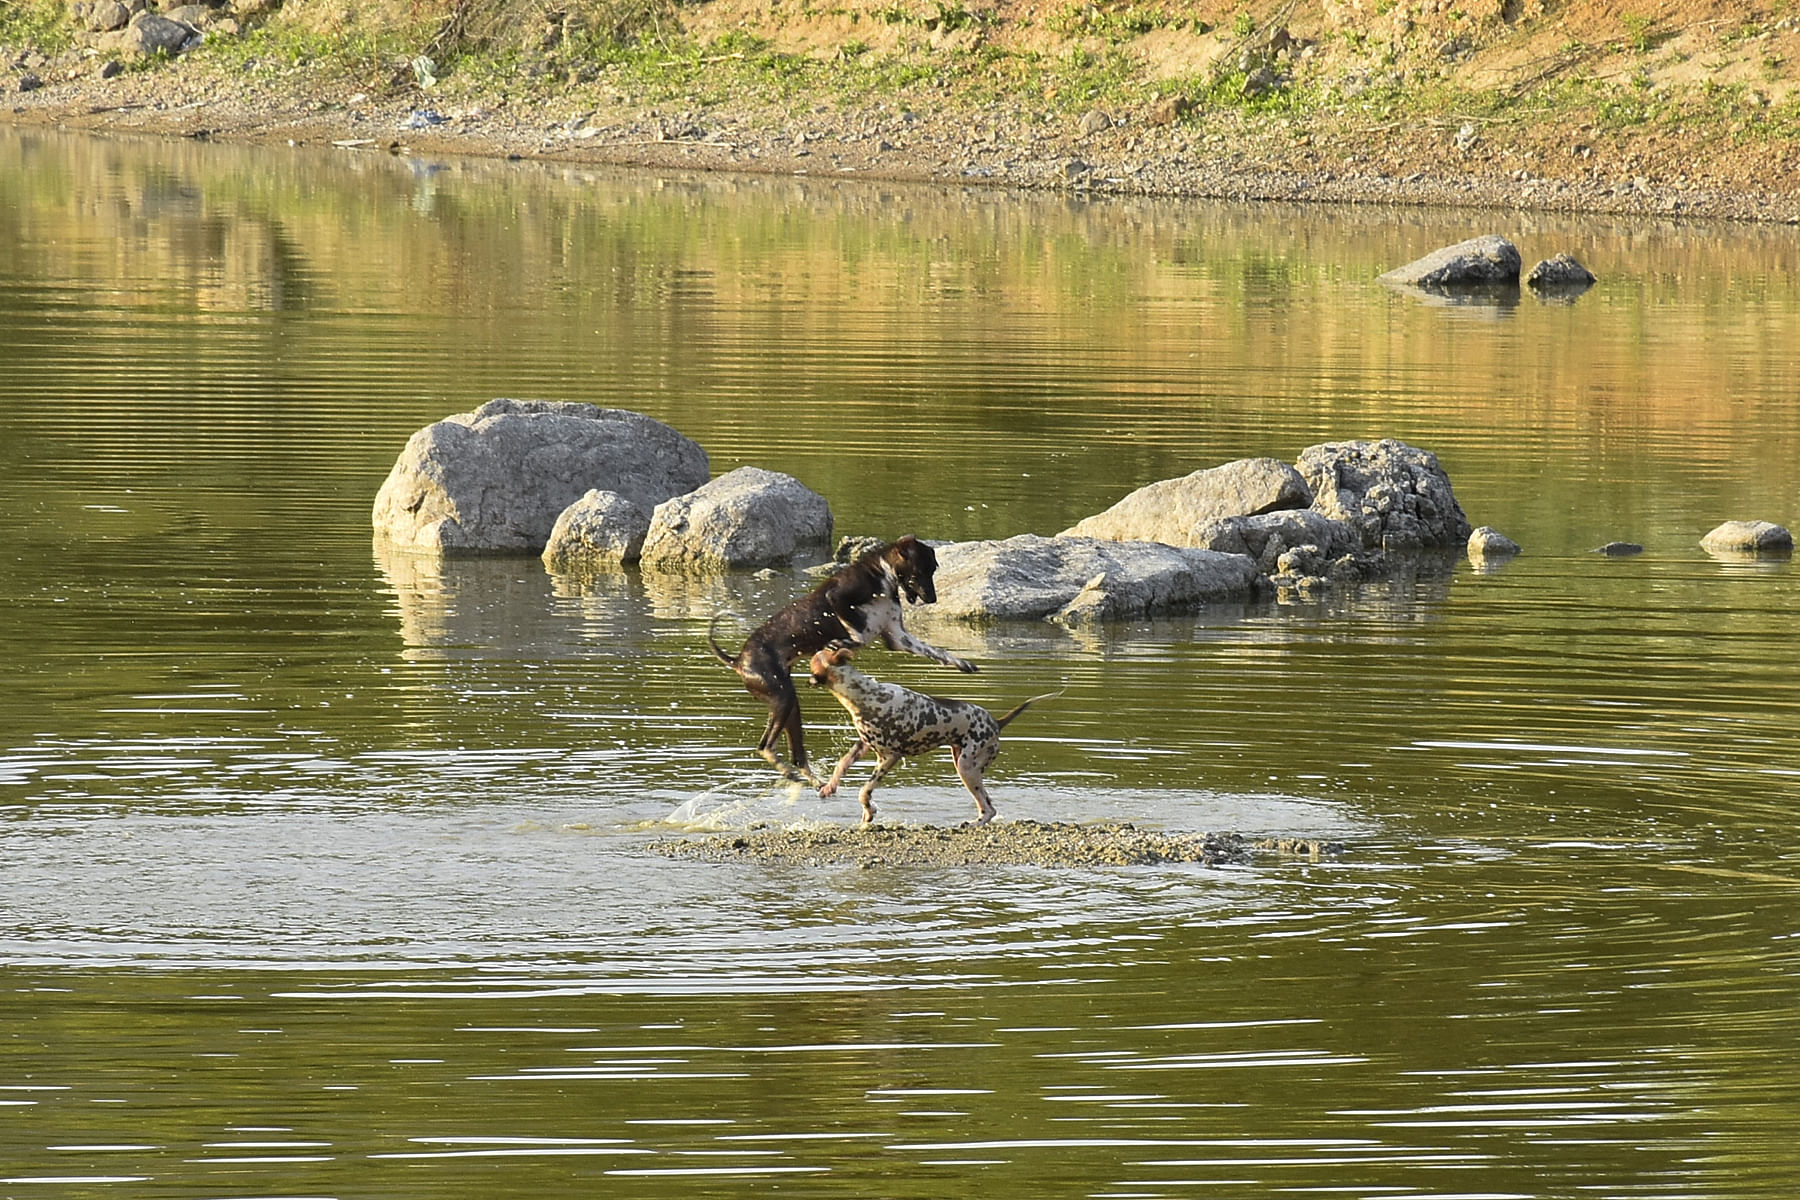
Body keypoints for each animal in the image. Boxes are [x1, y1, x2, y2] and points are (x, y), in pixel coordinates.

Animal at [709, 536, 979, 784]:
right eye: (924, 569)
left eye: (933, 569)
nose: (933, 599)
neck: (882, 575)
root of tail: (738, 660)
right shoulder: (837, 599)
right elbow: (856, 632)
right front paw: (842, 644)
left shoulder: (898, 637)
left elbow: (937, 652)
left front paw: (963, 664)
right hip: (782, 699)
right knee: (765, 746)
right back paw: (790, 772)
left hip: (790, 705)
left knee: (797, 756)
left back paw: (814, 782)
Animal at [806, 647, 1051, 827]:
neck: (864, 694)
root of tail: (997, 723)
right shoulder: (864, 745)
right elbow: (841, 764)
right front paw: (830, 787)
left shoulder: (889, 757)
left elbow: (864, 791)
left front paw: (869, 810)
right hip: (963, 764)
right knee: (988, 806)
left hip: (967, 769)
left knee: (989, 809)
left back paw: (973, 824)